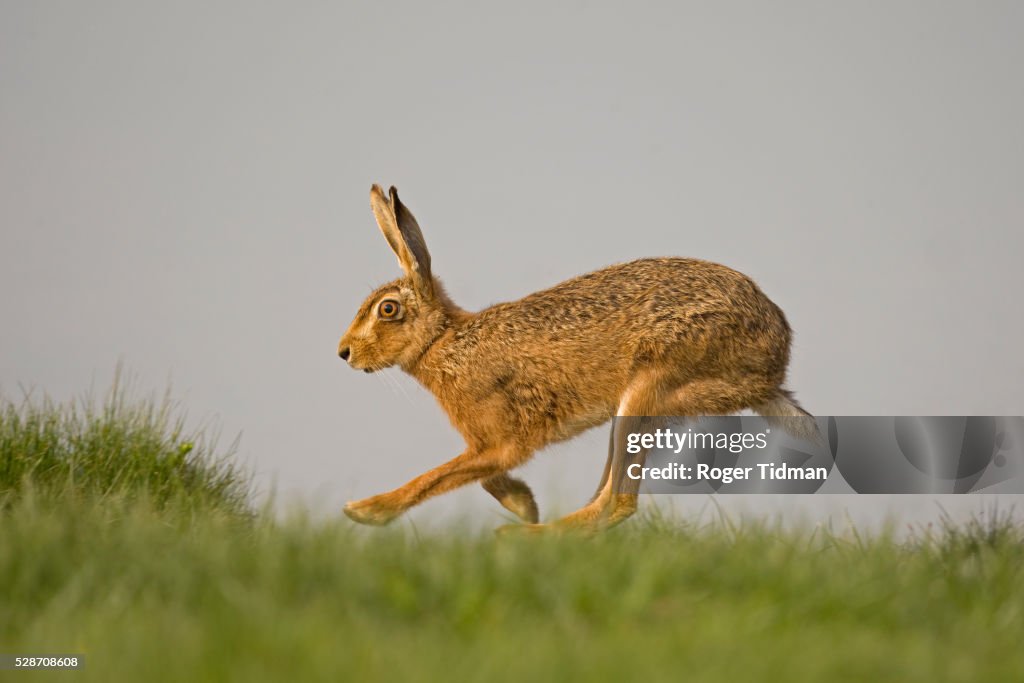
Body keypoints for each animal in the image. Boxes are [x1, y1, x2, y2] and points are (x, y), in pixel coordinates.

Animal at [338, 185, 813, 531]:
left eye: (387, 309)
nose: (344, 353)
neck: (444, 341)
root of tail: (774, 358)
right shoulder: (490, 445)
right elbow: (475, 473)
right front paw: (524, 503)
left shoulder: (502, 440)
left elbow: (440, 474)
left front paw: (366, 511)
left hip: (650, 388)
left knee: (617, 503)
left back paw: (520, 537)